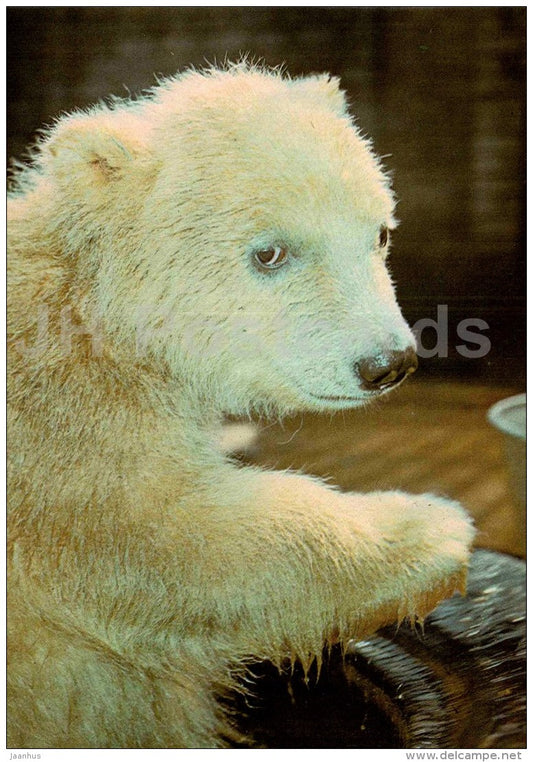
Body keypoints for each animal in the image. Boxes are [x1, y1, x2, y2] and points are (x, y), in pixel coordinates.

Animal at [7, 62, 475, 749]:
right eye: (270, 252)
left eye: (381, 232)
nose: (387, 362)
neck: (91, 312)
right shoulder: (58, 431)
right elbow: (170, 534)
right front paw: (432, 528)